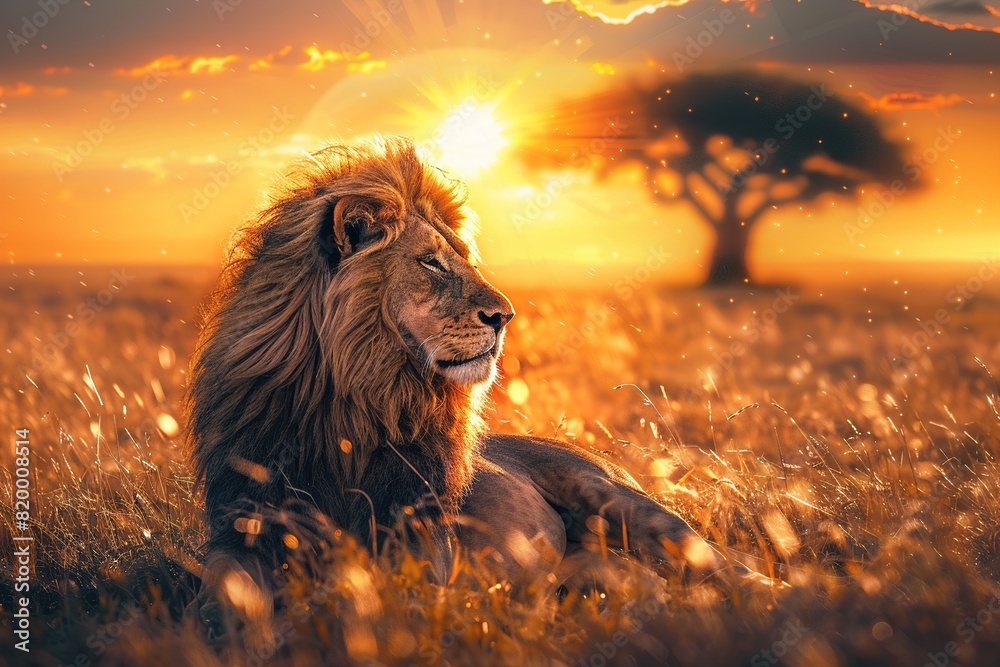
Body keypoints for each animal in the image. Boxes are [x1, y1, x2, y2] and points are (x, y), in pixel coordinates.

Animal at [186, 135, 752, 645]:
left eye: (462, 258)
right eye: (431, 262)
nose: (505, 316)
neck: (351, 409)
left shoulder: (418, 545)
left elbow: (375, 599)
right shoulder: (240, 528)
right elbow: (221, 594)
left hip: (625, 504)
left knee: (736, 571)